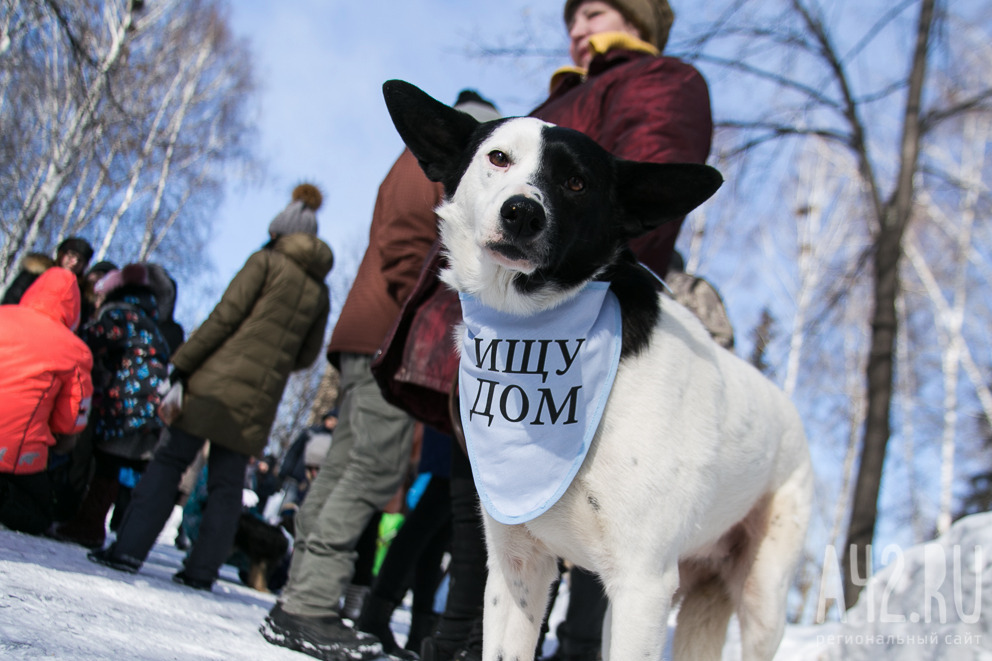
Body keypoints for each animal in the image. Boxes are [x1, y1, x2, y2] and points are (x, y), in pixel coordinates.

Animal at [384, 80, 808, 656]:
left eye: (576, 182)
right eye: (498, 158)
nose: (522, 213)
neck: (534, 333)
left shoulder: (642, 581)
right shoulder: (519, 564)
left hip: (759, 598)